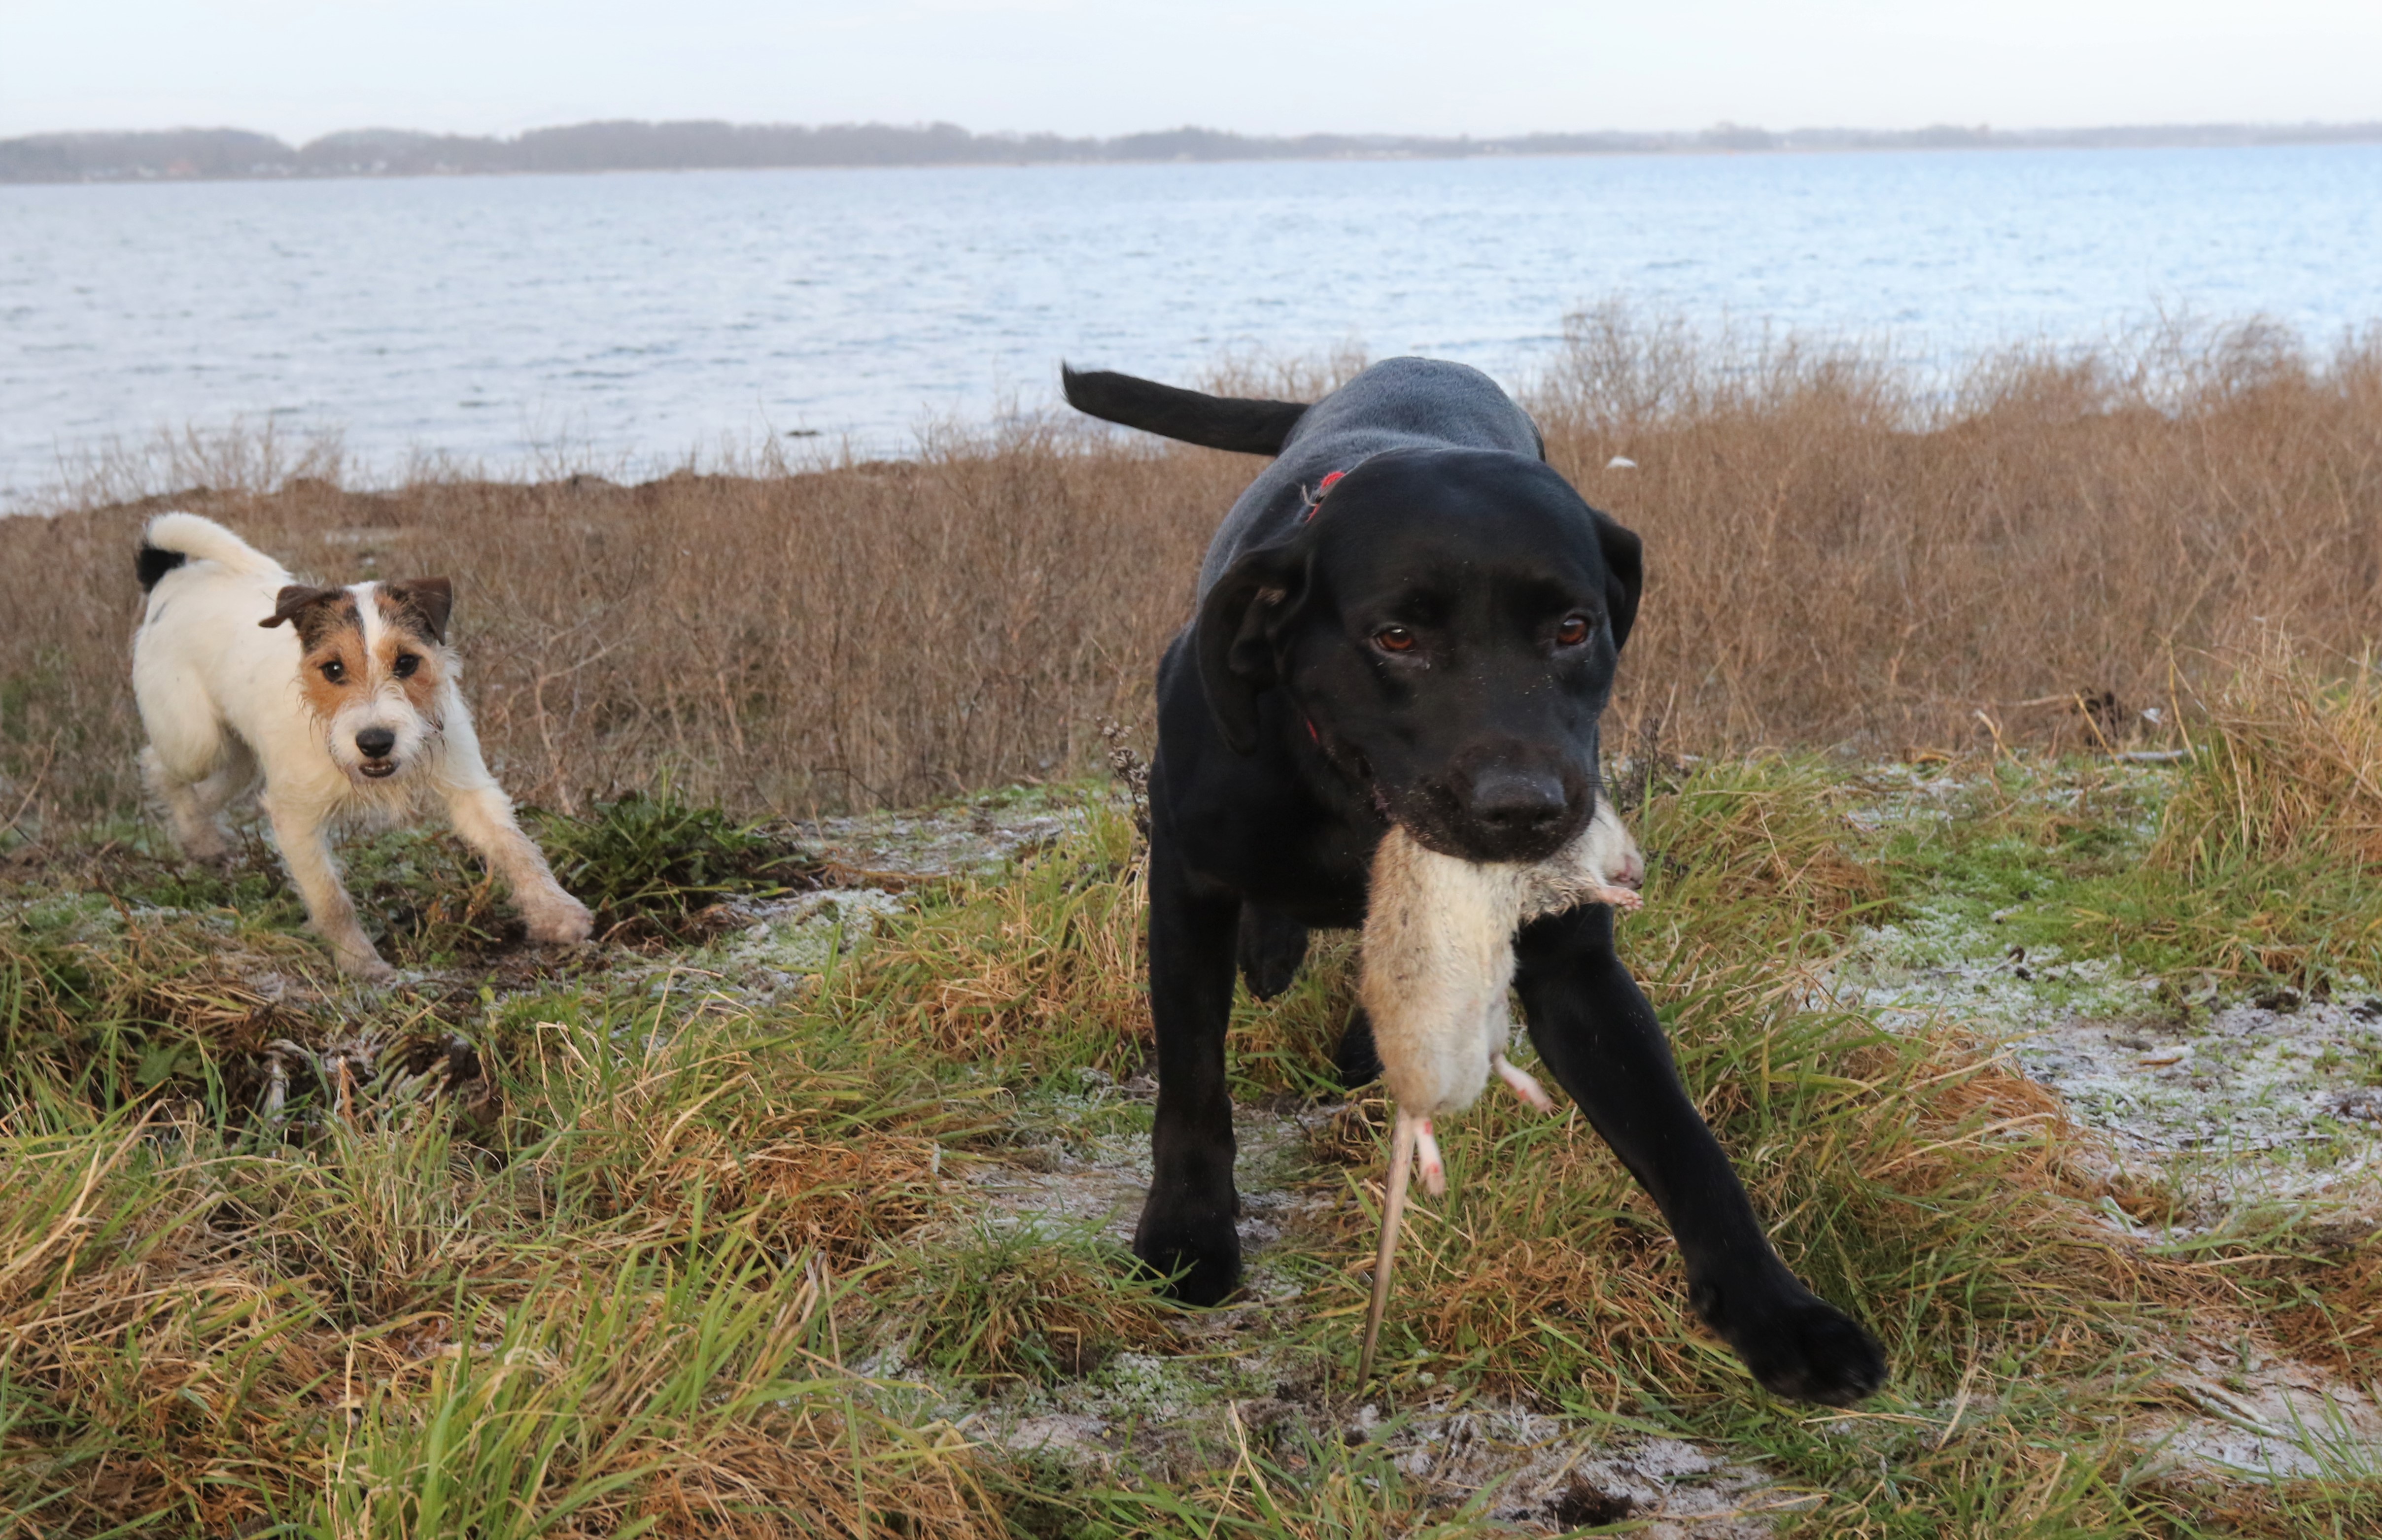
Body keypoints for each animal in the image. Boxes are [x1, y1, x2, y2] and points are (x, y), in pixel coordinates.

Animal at [1071, 359, 1886, 1409]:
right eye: (1395, 638)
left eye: (1574, 628)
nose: (1526, 811)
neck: (1346, 793)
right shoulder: (1186, 887)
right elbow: (1192, 1082)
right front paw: (1186, 1233)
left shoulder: (1575, 970)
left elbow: (1681, 1140)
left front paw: (1775, 1309)